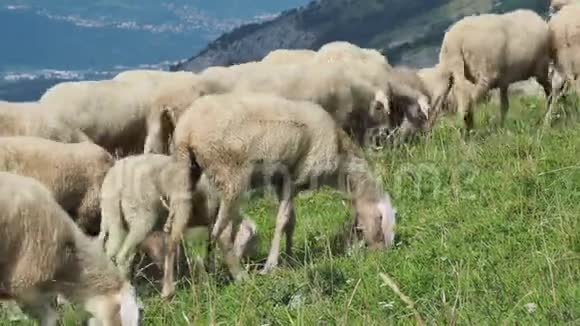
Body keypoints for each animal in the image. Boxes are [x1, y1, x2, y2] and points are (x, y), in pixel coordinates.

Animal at [98, 154, 258, 300]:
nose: (253, 260)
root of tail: (117, 178)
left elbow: (197, 256)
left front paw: (205, 280)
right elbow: (227, 249)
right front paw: (242, 278)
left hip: (115, 219)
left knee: (109, 252)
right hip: (142, 216)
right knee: (123, 256)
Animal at [173, 93, 398, 282]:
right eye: (380, 222)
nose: (381, 255)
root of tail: (187, 129)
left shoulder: (281, 183)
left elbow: (291, 222)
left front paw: (290, 257)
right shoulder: (293, 179)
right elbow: (283, 220)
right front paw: (271, 265)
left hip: (190, 173)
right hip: (230, 175)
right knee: (220, 231)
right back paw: (230, 274)